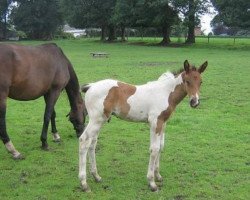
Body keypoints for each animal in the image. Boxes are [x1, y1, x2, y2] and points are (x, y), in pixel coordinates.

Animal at [79, 60, 208, 191]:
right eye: (187, 81)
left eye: (200, 82)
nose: (194, 102)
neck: (166, 93)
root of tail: (91, 86)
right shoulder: (155, 122)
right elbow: (154, 149)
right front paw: (152, 182)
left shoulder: (163, 123)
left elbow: (161, 146)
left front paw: (158, 176)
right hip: (96, 120)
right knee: (84, 140)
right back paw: (84, 183)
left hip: (100, 120)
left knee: (92, 143)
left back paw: (96, 176)